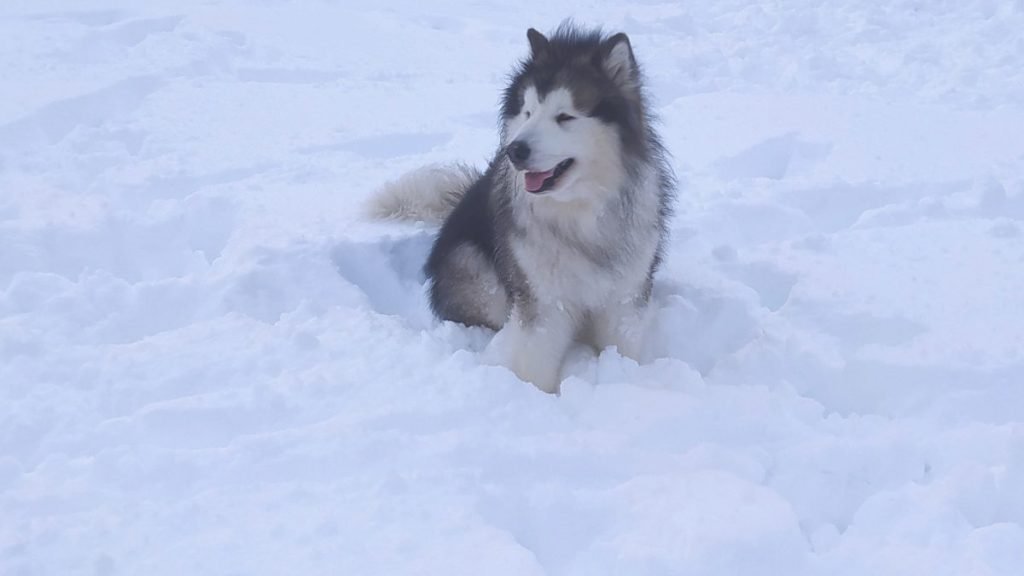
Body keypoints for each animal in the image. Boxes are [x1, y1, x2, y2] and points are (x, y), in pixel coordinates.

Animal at [368, 22, 671, 389]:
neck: (581, 212)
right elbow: (535, 362)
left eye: (565, 116)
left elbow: (622, 346)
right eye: (528, 112)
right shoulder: (542, 301)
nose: (515, 150)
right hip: (474, 270)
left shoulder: (625, 297)